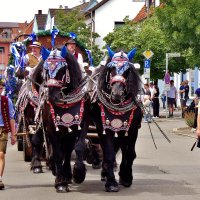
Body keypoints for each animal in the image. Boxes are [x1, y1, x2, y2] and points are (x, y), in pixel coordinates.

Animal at [35, 46, 90, 192]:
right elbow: (58, 153)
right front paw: (60, 182)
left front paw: (78, 173)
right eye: (45, 69)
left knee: (67, 148)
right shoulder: (51, 128)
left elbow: (77, 146)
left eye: (62, 69)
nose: (52, 96)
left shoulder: (81, 125)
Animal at [90, 47, 144, 192]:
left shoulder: (132, 128)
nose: (117, 94)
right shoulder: (105, 127)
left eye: (128, 70)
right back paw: (105, 173)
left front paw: (126, 177)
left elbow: (130, 153)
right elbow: (109, 153)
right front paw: (111, 183)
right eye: (111, 69)